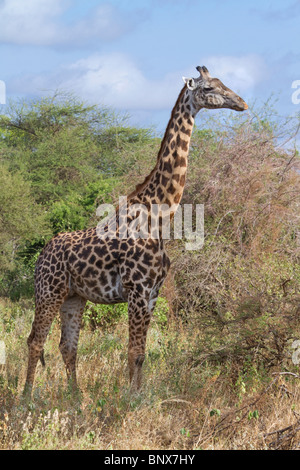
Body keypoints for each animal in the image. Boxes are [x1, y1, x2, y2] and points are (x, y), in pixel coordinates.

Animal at [24, 66, 248, 394]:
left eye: (222, 83)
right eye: (208, 88)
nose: (242, 103)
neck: (160, 215)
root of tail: (41, 256)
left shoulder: (153, 292)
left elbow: (142, 353)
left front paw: (138, 396)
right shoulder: (137, 289)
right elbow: (133, 351)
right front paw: (130, 399)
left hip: (73, 296)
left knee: (67, 346)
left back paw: (75, 399)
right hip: (48, 291)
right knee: (35, 342)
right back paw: (25, 399)